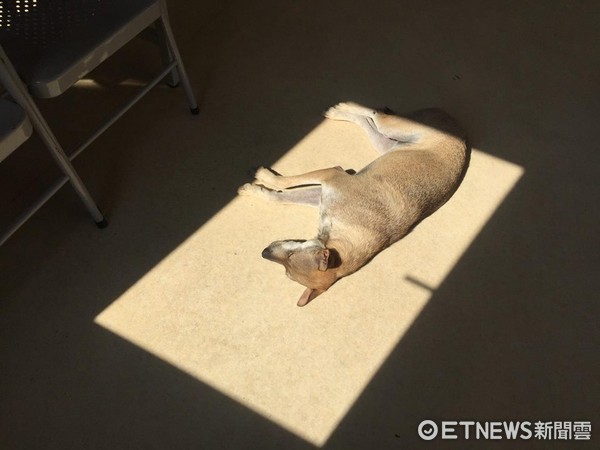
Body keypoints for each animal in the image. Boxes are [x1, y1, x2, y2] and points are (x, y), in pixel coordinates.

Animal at [238, 102, 468, 306]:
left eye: (289, 261)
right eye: (286, 273)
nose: (264, 252)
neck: (344, 234)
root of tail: (458, 128)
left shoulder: (331, 177)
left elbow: (284, 186)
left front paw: (262, 179)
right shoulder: (324, 189)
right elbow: (281, 193)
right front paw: (259, 185)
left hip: (390, 134)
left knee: (375, 116)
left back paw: (339, 109)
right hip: (389, 140)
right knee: (371, 117)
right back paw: (340, 110)